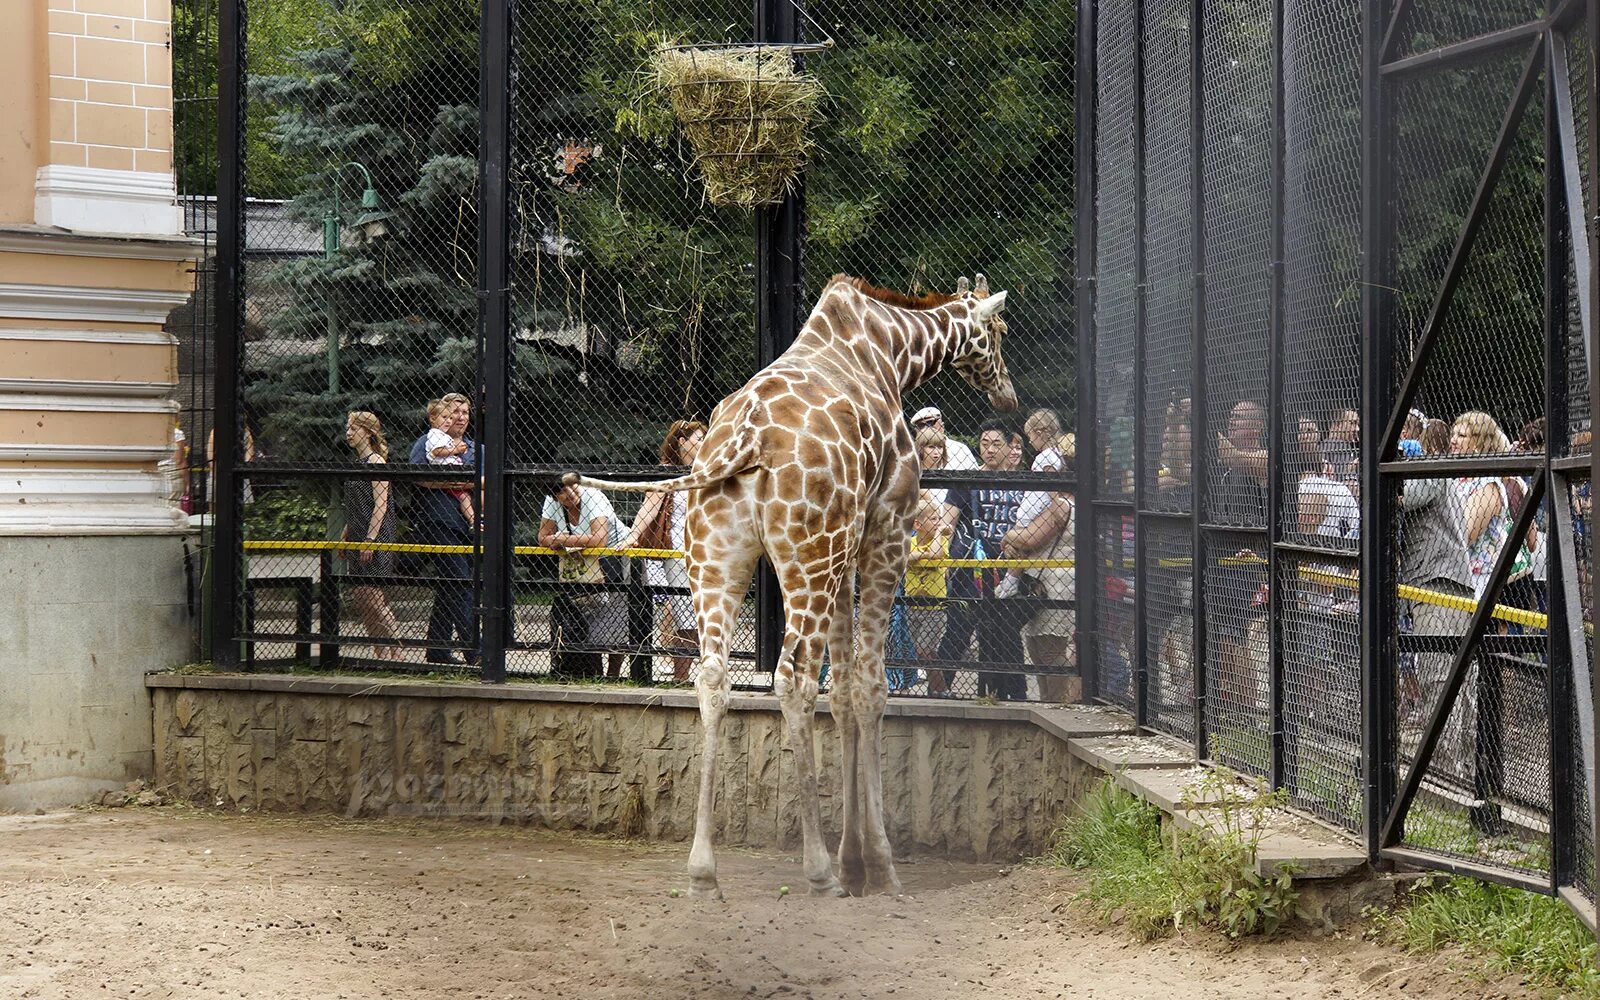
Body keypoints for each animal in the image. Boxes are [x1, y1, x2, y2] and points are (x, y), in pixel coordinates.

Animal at [566, 273, 1011, 896]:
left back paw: (704, 872)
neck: (891, 350)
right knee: (792, 676)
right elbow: (870, 688)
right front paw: (876, 867)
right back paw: (818, 870)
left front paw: (856, 862)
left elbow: (844, 690)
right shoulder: (886, 532)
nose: (1007, 396)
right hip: (810, 555)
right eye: (1000, 330)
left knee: (712, 676)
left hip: (719, 559)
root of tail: (741, 444)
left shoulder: (848, 550)